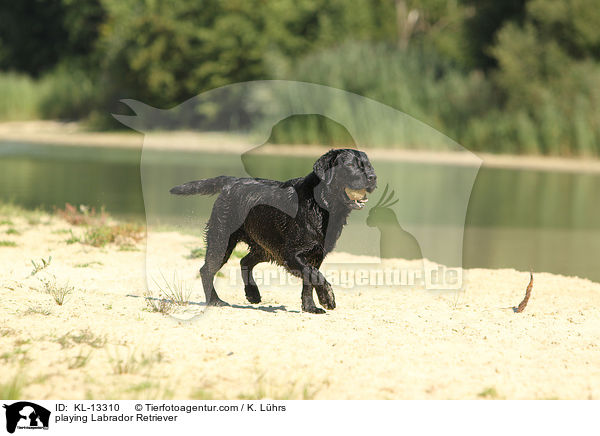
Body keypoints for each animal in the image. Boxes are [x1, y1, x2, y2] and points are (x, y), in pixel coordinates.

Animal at [170, 149, 376, 314]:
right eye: (350, 165)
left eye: (367, 165)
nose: (373, 177)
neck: (321, 205)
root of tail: (232, 181)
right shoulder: (292, 254)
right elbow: (315, 276)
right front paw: (327, 297)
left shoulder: (316, 255)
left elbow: (309, 281)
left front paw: (310, 307)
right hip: (223, 240)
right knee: (206, 270)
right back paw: (214, 300)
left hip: (266, 247)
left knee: (245, 261)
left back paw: (253, 293)